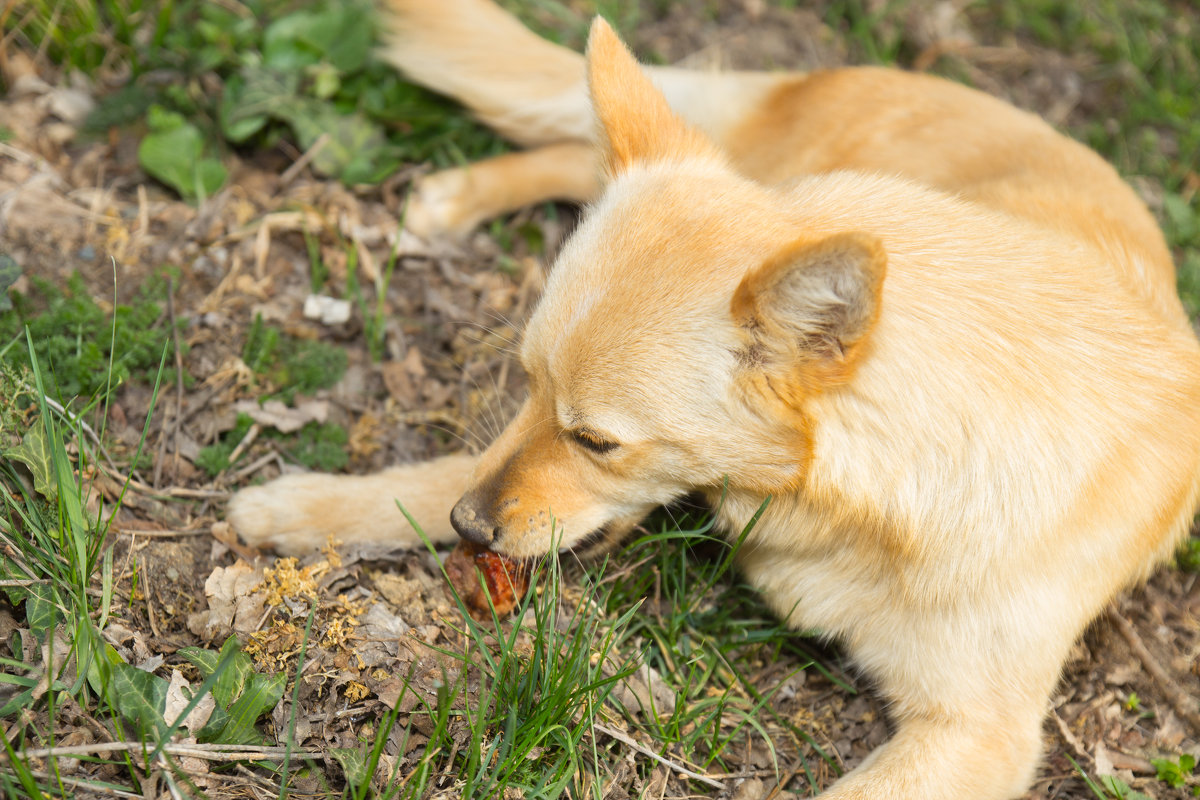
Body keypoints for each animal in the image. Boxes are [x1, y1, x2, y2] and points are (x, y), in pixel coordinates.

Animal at [229, 3, 1200, 796]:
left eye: (598, 441)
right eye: (527, 384)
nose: (470, 527)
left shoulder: (978, 736)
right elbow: (448, 469)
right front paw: (312, 506)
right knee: (581, 142)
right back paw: (455, 196)